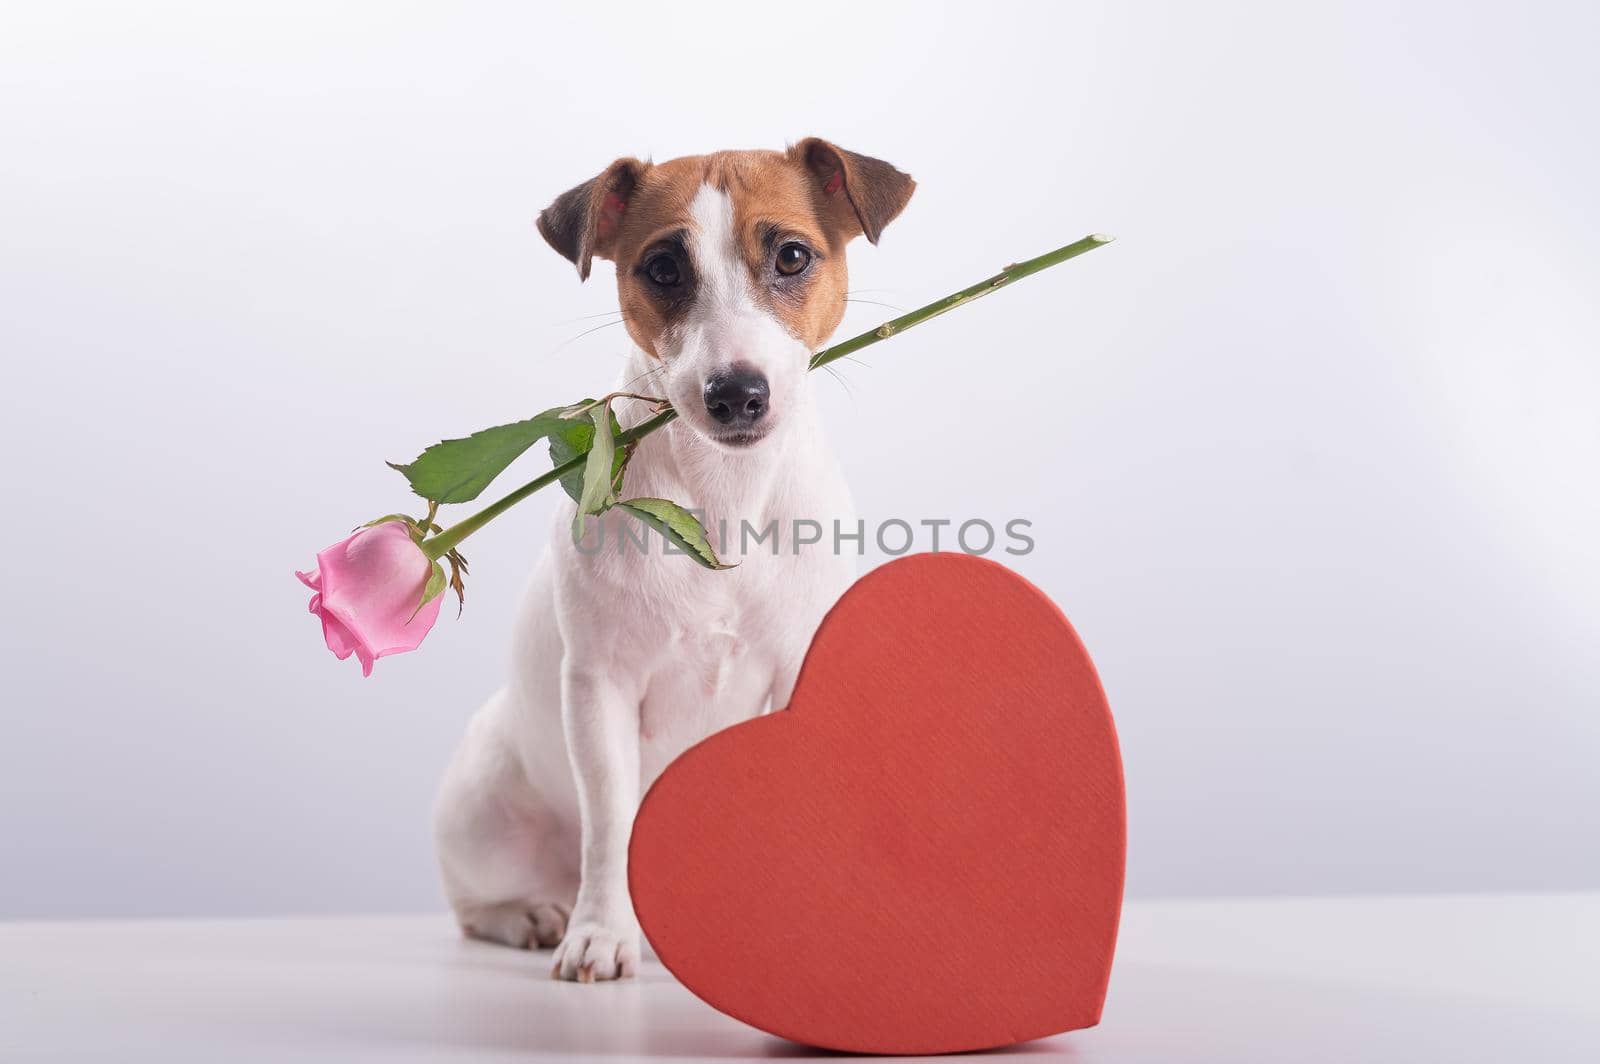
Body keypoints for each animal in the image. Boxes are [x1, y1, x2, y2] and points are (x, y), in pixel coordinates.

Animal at [432, 139, 921, 979]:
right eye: (662, 268)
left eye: (793, 256)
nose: (737, 393)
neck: (724, 497)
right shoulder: (601, 690)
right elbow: (610, 824)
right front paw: (600, 933)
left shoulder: (794, 677)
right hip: (483, 808)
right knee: (476, 904)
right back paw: (533, 914)